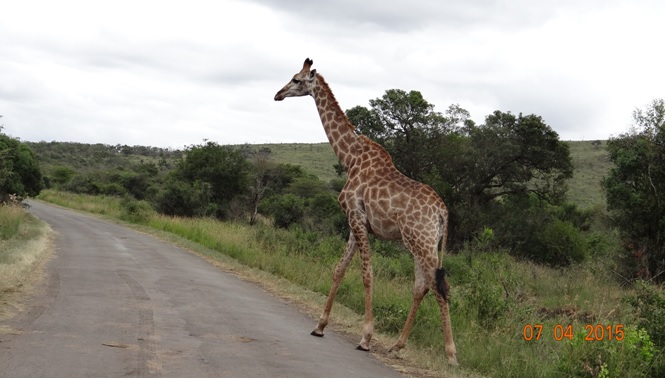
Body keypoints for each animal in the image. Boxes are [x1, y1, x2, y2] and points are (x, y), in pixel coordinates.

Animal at [274, 58, 456, 366]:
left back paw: (451, 354)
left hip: (421, 242)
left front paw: (366, 338)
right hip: (423, 243)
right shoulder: (354, 222)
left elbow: (366, 274)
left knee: (439, 285)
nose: (278, 94)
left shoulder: (357, 218)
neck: (349, 158)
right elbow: (339, 270)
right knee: (421, 285)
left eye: (297, 79)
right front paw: (319, 326)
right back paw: (397, 345)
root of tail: (443, 212)